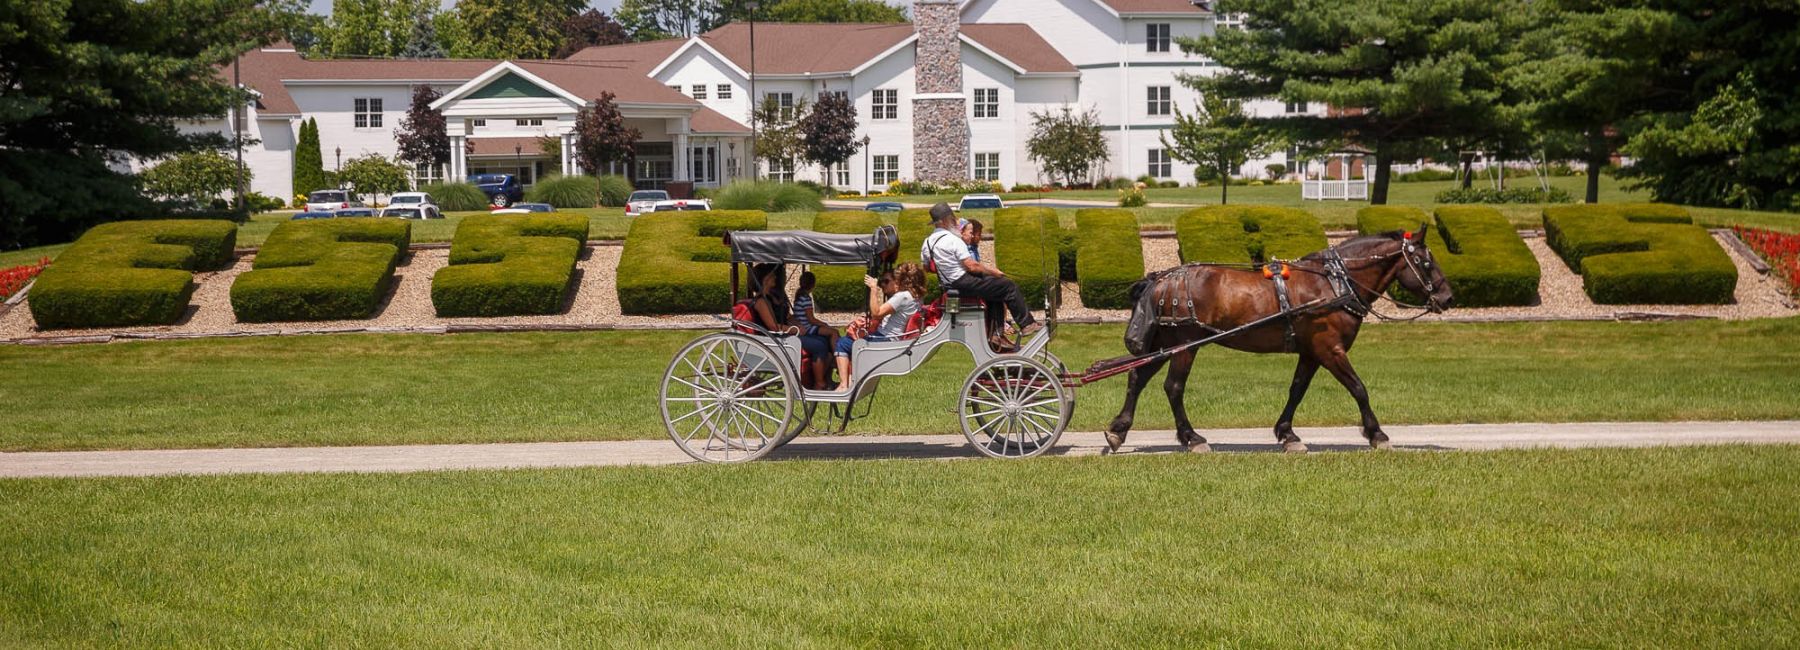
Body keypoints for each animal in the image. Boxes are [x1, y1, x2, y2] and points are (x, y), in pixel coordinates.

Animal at [1101, 225, 1454, 453]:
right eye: (1426, 262)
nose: (1448, 297)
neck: (1334, 284)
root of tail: (1162, 279)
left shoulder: (1311, 352)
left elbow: (1297, 390)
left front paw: (1287, 434)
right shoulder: (1330, 350)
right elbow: (1358, 388)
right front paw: (1377, 434)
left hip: (1164, 344)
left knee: (1137, 378)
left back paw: (1119, 430)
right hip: (1184, 345)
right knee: (1173, 387)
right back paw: (1192, 438)